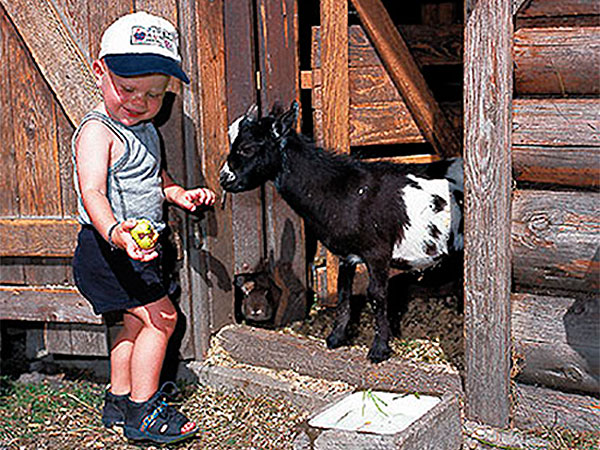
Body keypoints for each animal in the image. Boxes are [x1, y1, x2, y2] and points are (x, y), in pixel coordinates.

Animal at [221, 102, 464, 362]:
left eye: (247, 148)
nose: (224, 178)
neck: (346, 191)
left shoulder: (378, 252)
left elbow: (377, 294)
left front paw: (379, 349)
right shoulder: (346, 255)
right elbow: (343, 292)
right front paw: (336, 338)